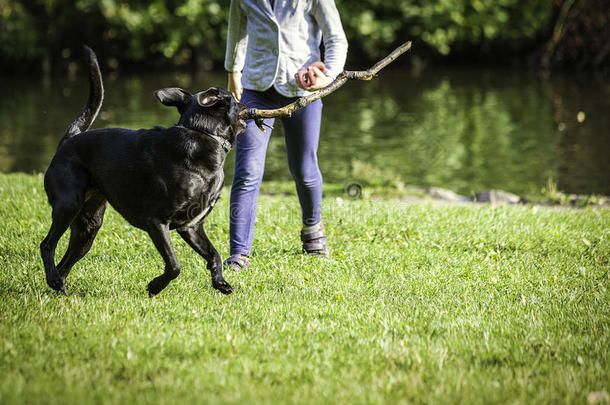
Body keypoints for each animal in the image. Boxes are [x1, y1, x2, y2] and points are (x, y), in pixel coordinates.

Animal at [39, 47, 245, 296]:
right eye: (235, 99)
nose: (244, 100)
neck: (203, 133)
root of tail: (68, 140)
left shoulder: (192, 226)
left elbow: (214, 254)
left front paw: (220, 282)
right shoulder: (156, 221)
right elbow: (174, 264)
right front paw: (155, 286)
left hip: (88, 227)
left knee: (65, 262)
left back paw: (58, 286)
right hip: (68, 206)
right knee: (47, 245)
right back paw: (54, 280)